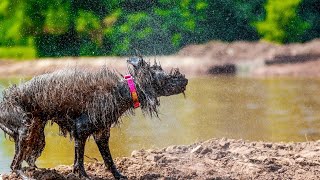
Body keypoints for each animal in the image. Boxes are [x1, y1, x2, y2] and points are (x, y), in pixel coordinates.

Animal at [0, 57, 188, 179]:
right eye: (167, 78)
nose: (185, 79)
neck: (122, 91)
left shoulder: (101, 134)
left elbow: (108, 160)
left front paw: (118, 175)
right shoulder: (81, 130)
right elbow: (80, 160)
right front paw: (83, 175)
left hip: (36, 135)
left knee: (20, 162)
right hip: (26, 129)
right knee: (14, 165)